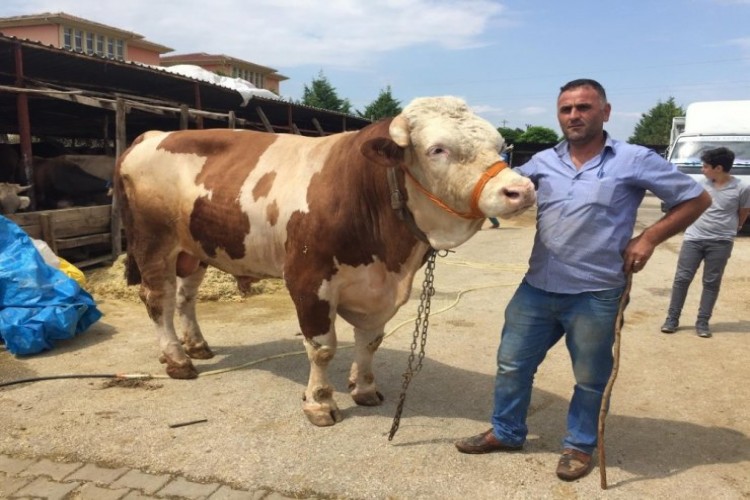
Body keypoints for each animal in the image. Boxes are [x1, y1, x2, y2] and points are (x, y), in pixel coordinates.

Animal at [116, 96, 540, 426]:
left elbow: (370, 341)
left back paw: (197, 346)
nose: (520, 189)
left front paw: (364, 388)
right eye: (438, 149)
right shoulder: (308, 281)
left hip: (196, 248)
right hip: (153, 242)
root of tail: (154, 135)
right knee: (158, 300)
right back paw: (177, 360)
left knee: (185, 297)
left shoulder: (379, 289)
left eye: (499, 144)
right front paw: (320, 403)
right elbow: (322, 347)